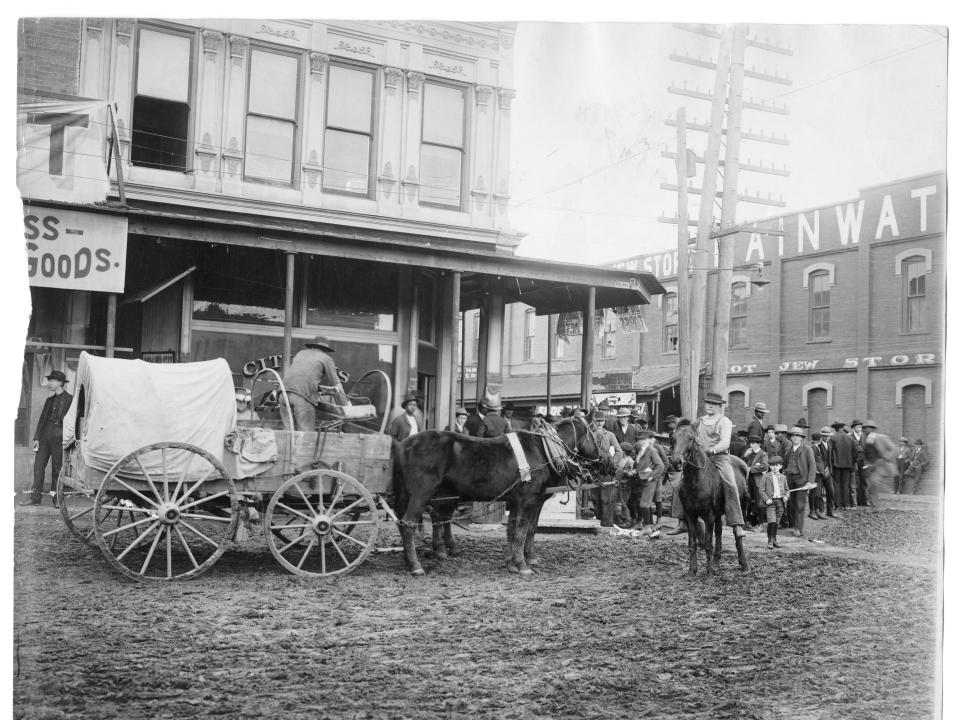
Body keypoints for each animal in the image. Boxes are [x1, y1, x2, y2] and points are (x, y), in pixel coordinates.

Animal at [390, 414, 608, 576]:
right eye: (598, 436)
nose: (608, 463)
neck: (543, 450)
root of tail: (404, 445)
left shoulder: (520, 500)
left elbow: (516, 529)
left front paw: (513, 562)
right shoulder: (528, 500)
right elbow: (522, 531)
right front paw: (522, 564)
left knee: (426, 519)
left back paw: (416, 557)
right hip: (421, 494)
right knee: (409, 524)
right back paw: (417, 565)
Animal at [668, 424, 752, 576]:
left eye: (690, 438)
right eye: (673, 438)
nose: (675, 462)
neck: (696, 481)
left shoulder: (708, 516)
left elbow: (708, 545)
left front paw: (708, 574)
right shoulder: (690, 515)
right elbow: (693, 544)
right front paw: (692, 571)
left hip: (741, 508)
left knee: (737, 536)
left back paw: (744, 565)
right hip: (718, 515)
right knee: (718, 533)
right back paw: (717, 564)